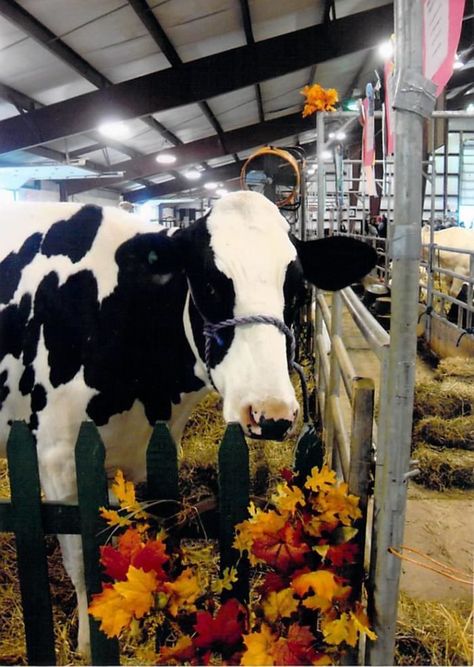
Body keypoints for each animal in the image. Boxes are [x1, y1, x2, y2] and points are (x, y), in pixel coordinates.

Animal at [0, 192, 378, 652]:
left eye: (296, 288)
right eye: (210, 284)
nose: (270, 413)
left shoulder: (144, 454)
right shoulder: (56, 459)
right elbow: (82, 563)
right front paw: (88, 644)